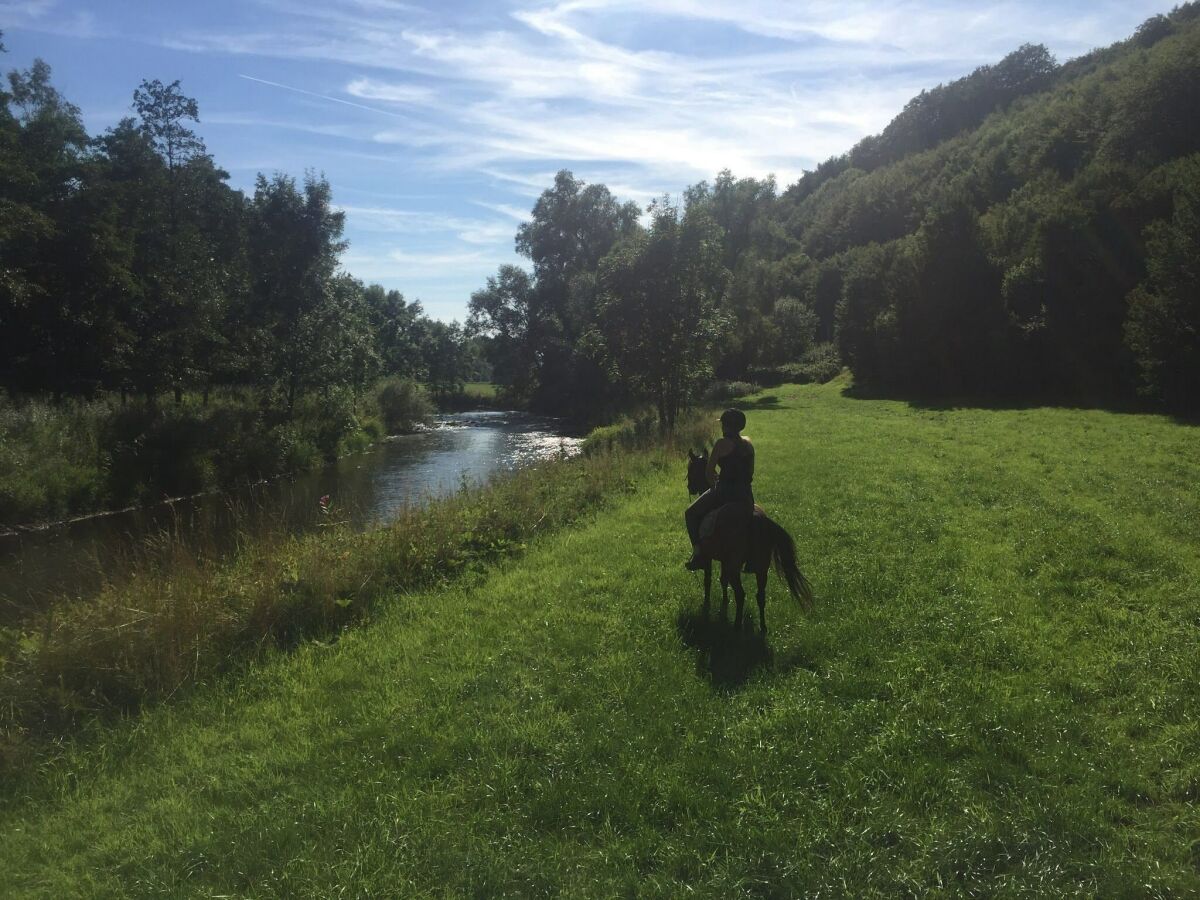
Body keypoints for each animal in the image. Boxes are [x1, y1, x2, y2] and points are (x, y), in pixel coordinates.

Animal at [691, 451, 811, 633]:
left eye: (691, 469)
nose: (690, 487)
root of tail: (755, 518)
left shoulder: (710, 558)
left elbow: (709, 580)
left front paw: (707, 604)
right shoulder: (725, 561)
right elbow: (722, 580)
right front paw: (724, 602)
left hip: (736, 568)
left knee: (741, 595)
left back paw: (737, 627)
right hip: (761, 569)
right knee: (760, 595)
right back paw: (763, 627)